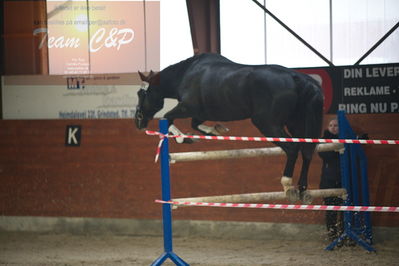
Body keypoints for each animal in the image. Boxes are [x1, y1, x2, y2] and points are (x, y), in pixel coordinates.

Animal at [136, 53, 324, 201]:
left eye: (142, 93)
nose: (138, 121)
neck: (186, 74)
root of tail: (297, 78)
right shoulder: (201, 113)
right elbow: (195, 124)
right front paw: (215, 130)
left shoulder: (188, 107)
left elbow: (168, 118)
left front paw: (183, 138)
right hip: (297, 125)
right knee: (307, 151)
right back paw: (302, 189)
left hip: (268, 124)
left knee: (292, 148)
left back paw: (287, 185)